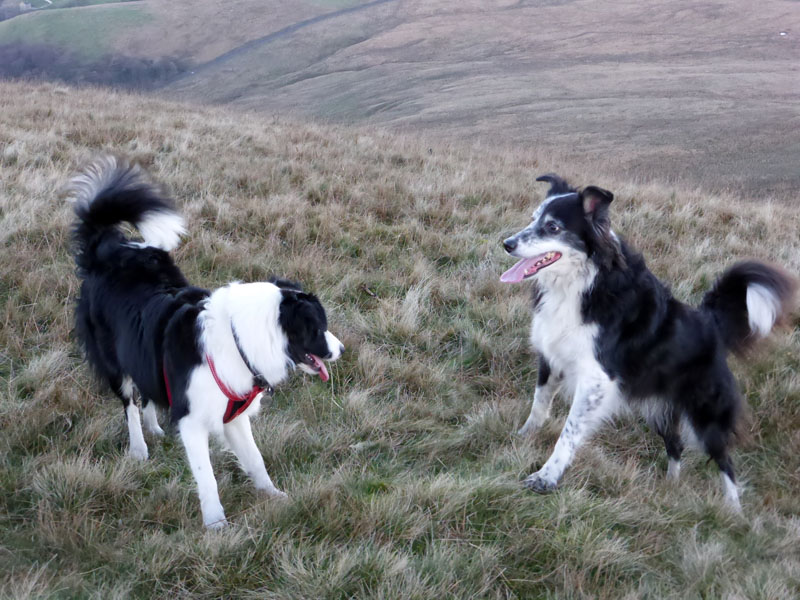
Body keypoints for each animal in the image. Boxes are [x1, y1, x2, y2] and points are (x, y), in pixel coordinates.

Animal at [70, 157, 342, 528]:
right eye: (318, 329)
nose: (341, 349)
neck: (239, 341)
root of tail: (108, 247)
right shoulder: (193, 420)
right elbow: (207, 476)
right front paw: (216, 524)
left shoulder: (234, 416)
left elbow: (255, 459)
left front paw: (273, 496)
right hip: (113, 360)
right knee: (129, 402)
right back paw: (139, 448)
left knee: (147, 391)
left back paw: (154, 427)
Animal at [500, 175, 792, 510]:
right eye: (533, 219)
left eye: (553, 227)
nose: (507, 244)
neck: (582, 282)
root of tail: (711, 324)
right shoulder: (551, 356)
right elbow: (539, 403)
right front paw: (524, 437)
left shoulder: (597, 379)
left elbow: (569, 432)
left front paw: (546, 477)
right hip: (658, 408)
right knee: (676, 445)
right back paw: (669, 490)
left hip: (705, 414)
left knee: (724, 460)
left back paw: (733, 512)